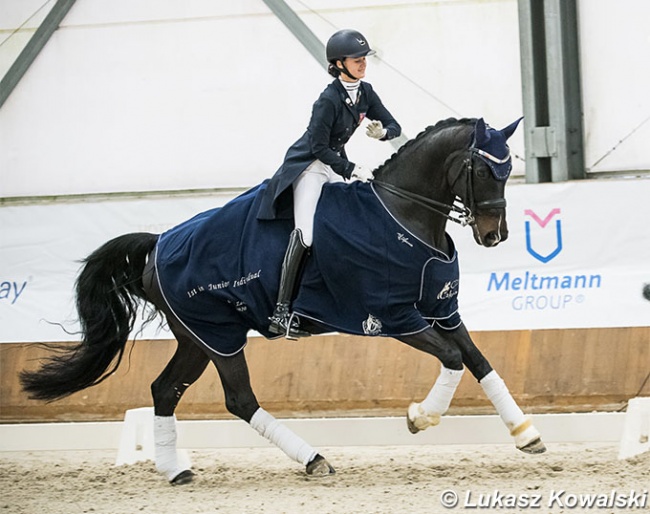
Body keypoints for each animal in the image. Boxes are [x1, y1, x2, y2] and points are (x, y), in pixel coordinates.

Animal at [20, 117, 544, 484]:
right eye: (484, 170)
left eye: (507, 170)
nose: (494, 236)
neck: (404, 214)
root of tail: (158, 243)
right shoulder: (393, 317)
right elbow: (454, 358)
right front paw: (421, 417)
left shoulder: (442, 310)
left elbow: (479, 361)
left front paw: (526, 434)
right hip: (216, 336)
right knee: (239, 398)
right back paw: (313, 459)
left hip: (200, 337)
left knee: (165, 390)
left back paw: (176, 470)